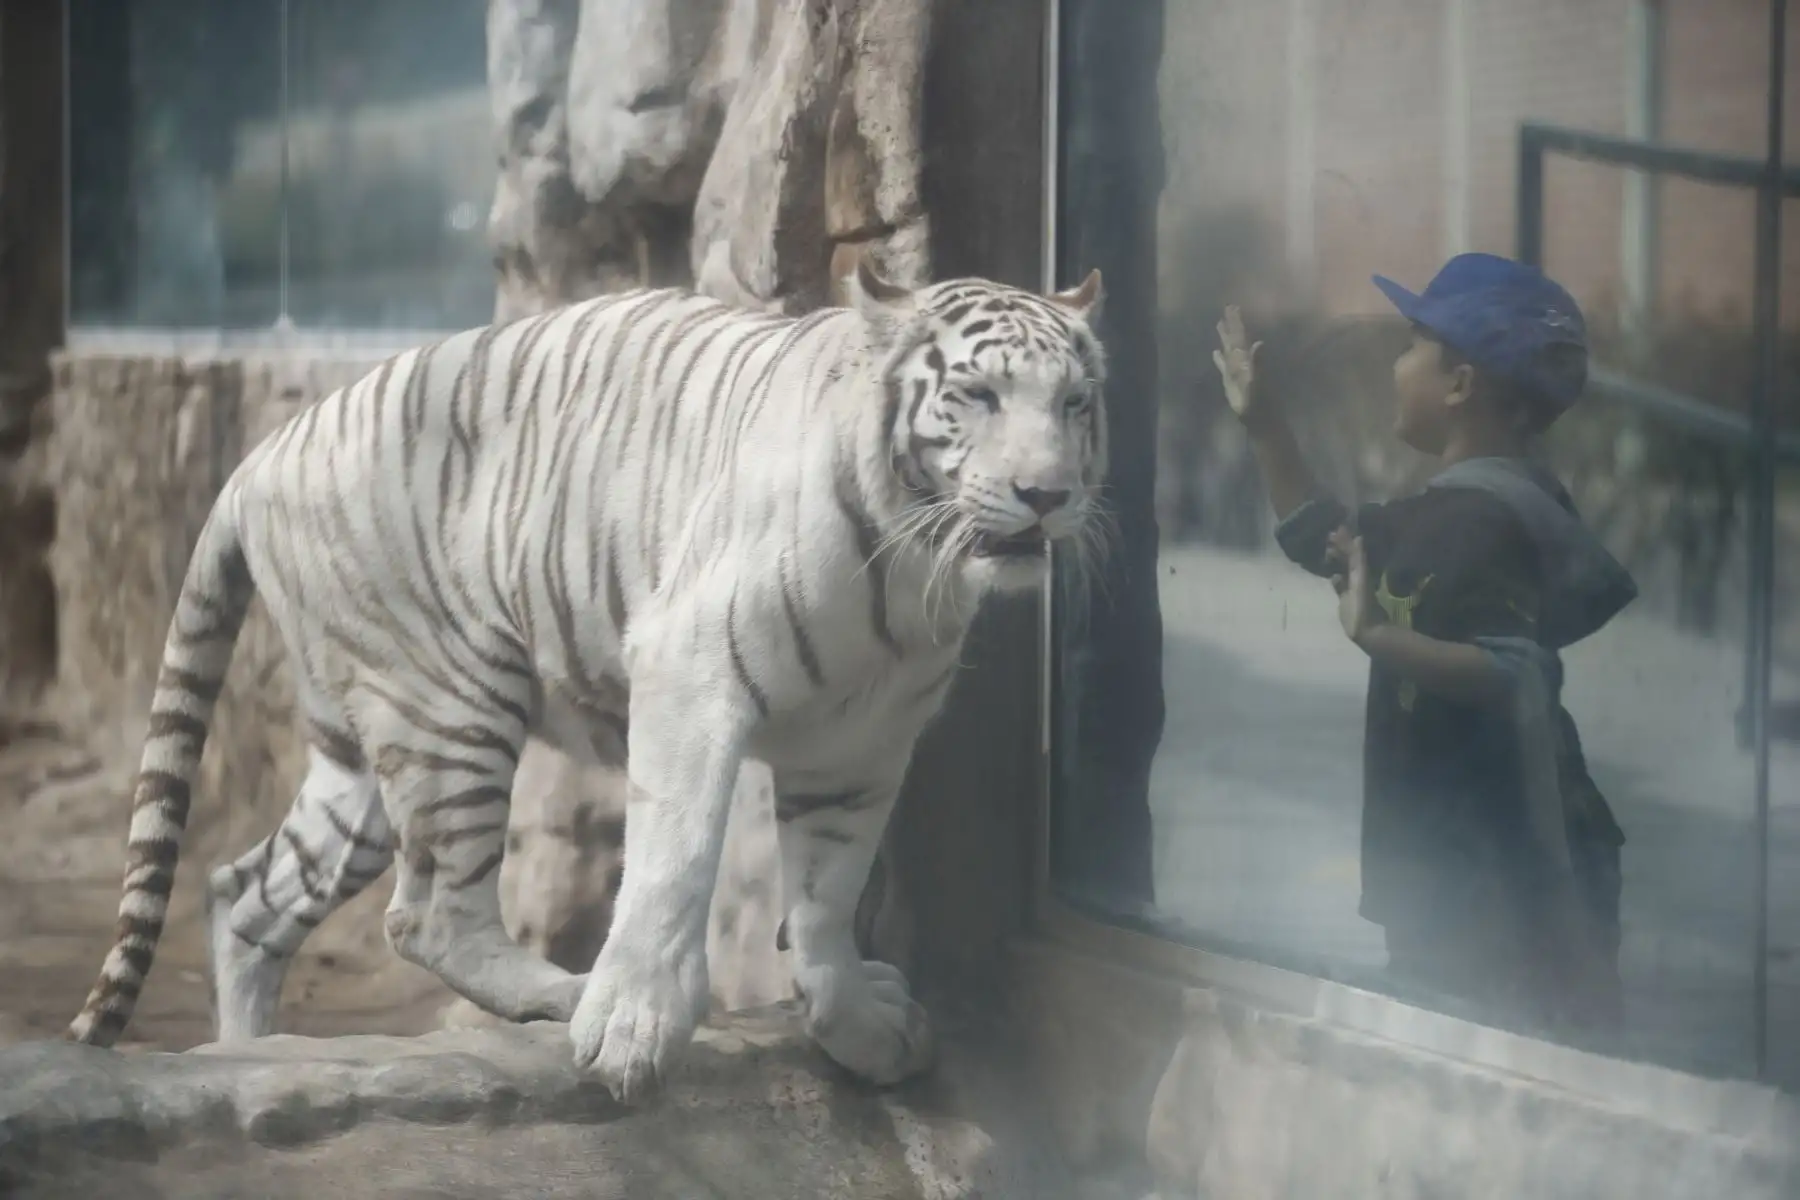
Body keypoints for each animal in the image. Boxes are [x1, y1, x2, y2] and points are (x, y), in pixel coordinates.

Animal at [66, 259, 1108, 1103]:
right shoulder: (690, 672)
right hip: (451, 704)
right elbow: (676, 858)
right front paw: (632, 1029)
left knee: (246, 893)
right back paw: (560, 994)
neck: (912, 564)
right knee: (428, 915)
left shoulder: (863, 743)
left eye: (1074, 405)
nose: (1046, 495)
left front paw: (860, 1024)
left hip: (363, 747)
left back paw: (246, 1054)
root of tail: (261, 454)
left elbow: (825, 891)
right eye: (976, 395)